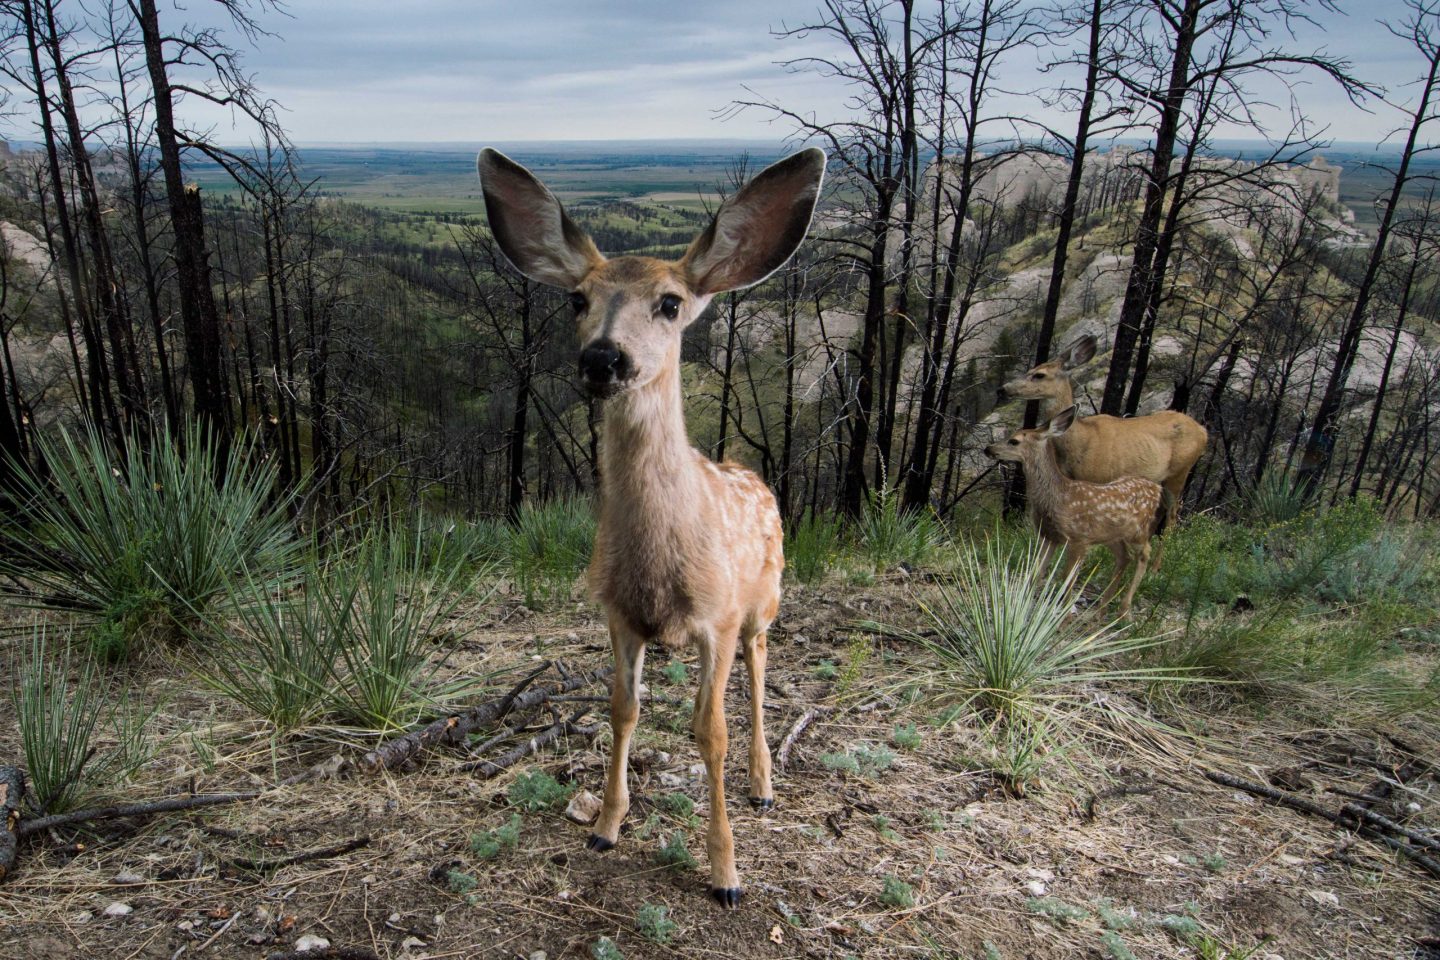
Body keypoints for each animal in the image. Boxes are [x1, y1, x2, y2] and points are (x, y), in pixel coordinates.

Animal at [476, 146, 826, 909]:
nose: (603, 359)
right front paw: (606, 826)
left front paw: (725, 873)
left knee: (760, 671)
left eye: (670, 303)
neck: (660, 559)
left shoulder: (716, 617)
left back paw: (763, 784)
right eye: (577, 299)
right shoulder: (618, 613)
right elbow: (621, 710)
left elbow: (710, 732)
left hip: (765, 601)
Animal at [985, 406, 1172, 616]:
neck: (1058, 497)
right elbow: (1037, 573)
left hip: (1139, 530)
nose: (988, 449)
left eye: (1014, 440)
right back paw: (1102, 607)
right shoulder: (1048, 535)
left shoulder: (1078, 538)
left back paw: (1124, 609)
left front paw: (1065, 613)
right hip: (1112, 535)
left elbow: (1067, 578)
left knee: (1144, 553)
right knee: (1125, 557)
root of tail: (1159, 490)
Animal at [1000, 334, 1207, 568]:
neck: (1078, 439)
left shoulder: (1099, 476)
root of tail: (1204, 432)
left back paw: (1156, 567)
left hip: (1180, 471)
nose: (1004, 388)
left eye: (1039, 374)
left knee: (1173, 514)